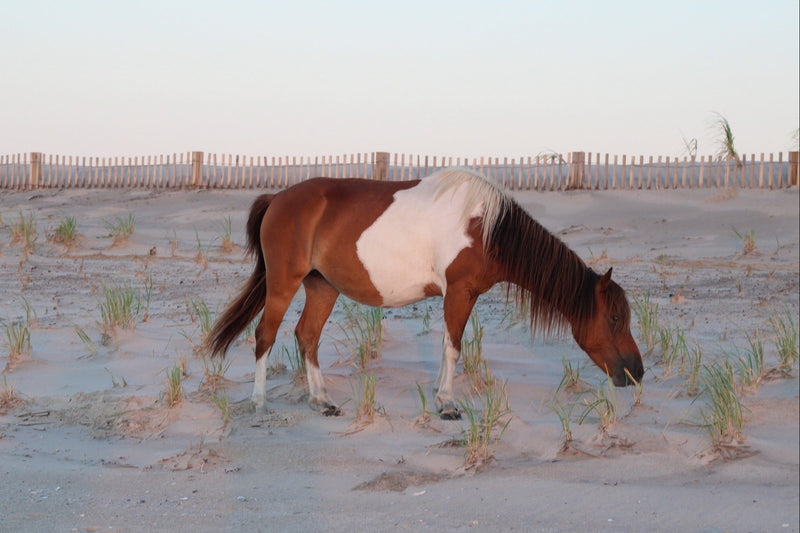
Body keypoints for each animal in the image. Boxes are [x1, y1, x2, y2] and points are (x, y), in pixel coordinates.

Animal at [208, 168, 643, 419]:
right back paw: (259, 403)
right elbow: (453, 346)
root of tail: (277, 199)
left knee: (307, 336)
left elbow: (447, 345)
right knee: (265, 336)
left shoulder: (462, 295)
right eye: (615, 318)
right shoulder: (460, 292)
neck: (487, 227)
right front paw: (447, 403)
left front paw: (439, 392)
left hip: (321, 286)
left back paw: (322, 400)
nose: (637, 372)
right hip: (283, 283)